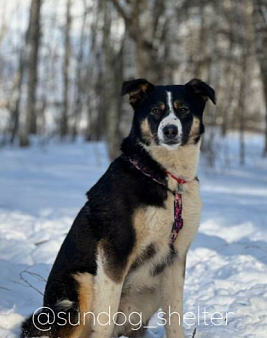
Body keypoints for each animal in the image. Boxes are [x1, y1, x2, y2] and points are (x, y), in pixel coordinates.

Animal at [22, 78, 217, 336]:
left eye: (183, 109)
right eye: (155, 111)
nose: (170, 130)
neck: (167, 180)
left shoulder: (176, 258)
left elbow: (175, 318)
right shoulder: (115, 250)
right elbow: (105, 317)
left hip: (149, 295)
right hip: (80, 289)